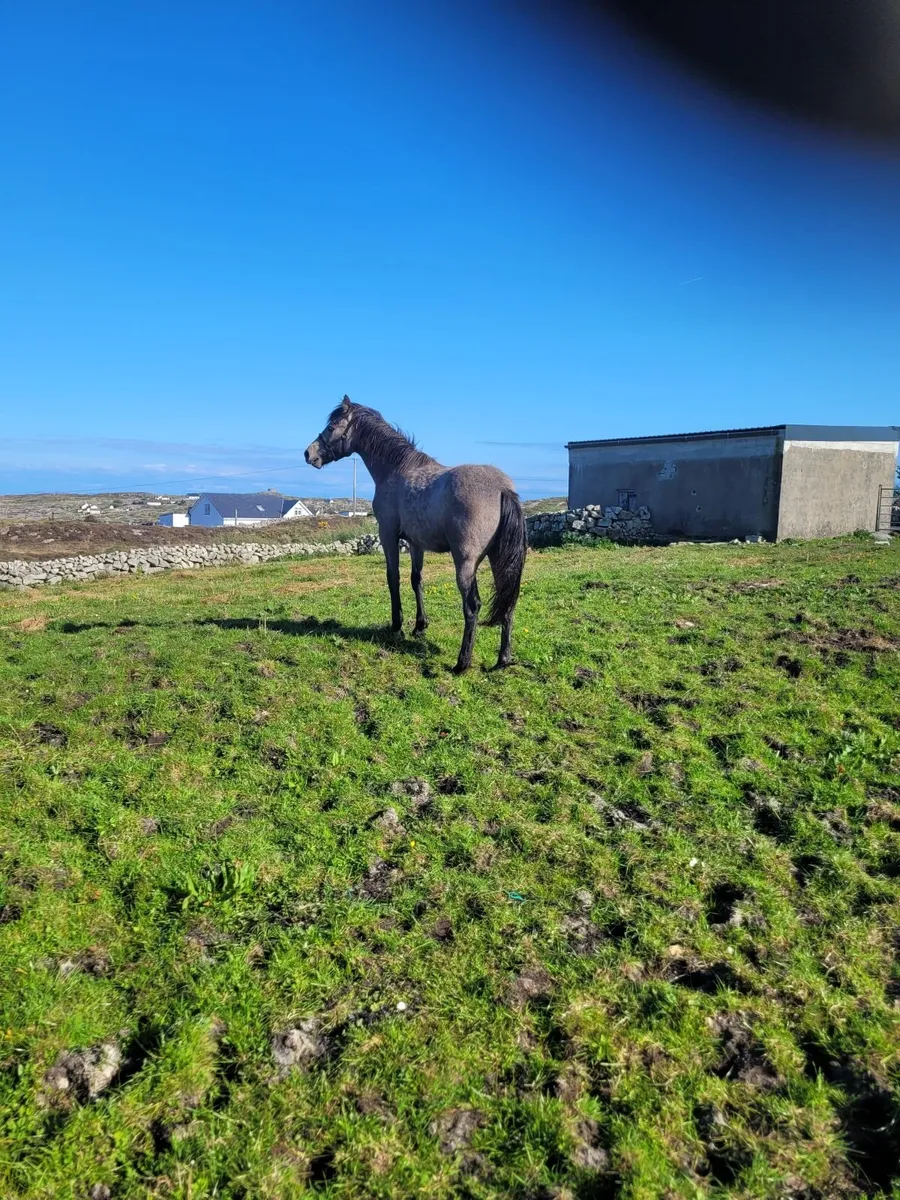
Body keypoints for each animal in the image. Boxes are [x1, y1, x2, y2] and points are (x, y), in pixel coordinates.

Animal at [304, 396, 527, 673]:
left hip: (465, 562)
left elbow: (393, 578)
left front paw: (397, 626)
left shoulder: (388, 535)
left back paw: (461, 664)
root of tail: (502, 489)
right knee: (509, 602)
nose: (309, 453)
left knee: (472, 606)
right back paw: (502, 660)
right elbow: (416, 580)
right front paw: (420, 626)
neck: (397, 470)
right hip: (500, 559)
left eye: (332, 426)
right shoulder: (416, 543)